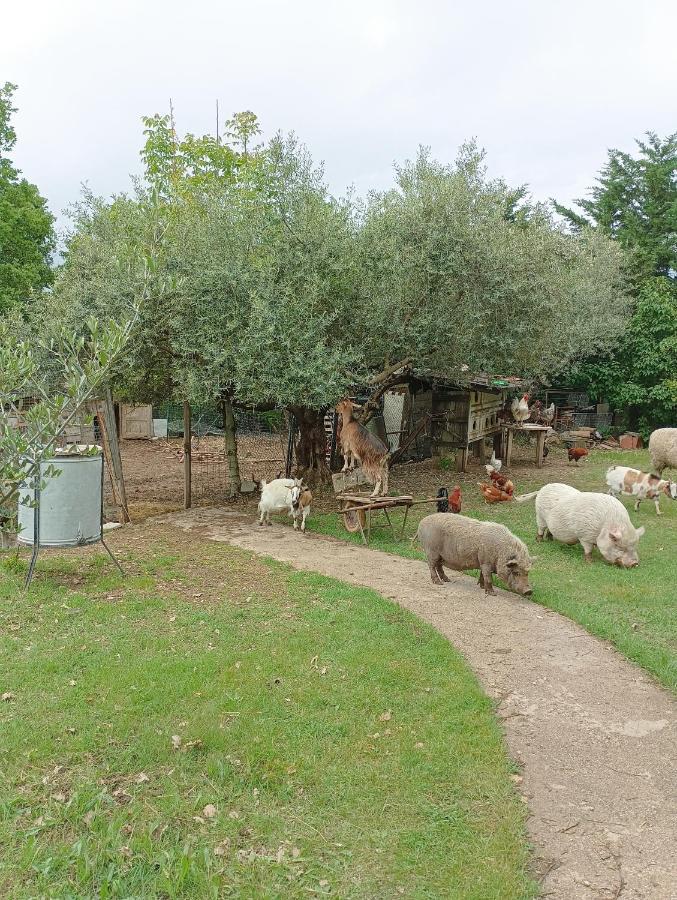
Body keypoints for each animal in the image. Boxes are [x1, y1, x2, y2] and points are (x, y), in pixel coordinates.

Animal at [516, 482, 644, 568]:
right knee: (540, 529)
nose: (635, 563)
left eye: (634, 546)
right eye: (620, 547)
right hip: (540, 515)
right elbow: (588, 549)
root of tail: (542, 489)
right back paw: (539, 541)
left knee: (549, 530)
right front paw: (590, 562)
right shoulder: (585, 536)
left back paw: (551, 539)